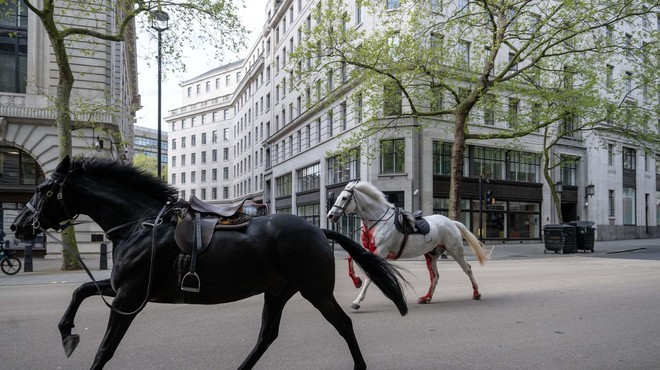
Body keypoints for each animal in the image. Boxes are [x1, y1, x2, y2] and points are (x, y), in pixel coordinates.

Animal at [11, 157, 408, 370]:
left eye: (44, 191)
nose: (18, 225)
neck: (141, 224)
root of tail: (318, 229)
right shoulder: (123, 288)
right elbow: (80, 290)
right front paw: (67, 333)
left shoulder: (129, 297)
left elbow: (105, 348)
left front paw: (74, 339)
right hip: (278, 291)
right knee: (267, 335)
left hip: (314, 290)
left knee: (342, 324)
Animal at [328, 181, 492, 308]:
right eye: (337, 197)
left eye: (344, 198)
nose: (331, 215)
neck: (378, 220)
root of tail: (451, 222)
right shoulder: (368, 250)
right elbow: (350, 258)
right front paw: (356, 281)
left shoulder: (381, 252)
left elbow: (370, 276)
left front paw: (357, 301)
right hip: (431, 255)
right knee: (435, 276)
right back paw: (426, 298)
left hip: (455, 251)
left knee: (467, 269)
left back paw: (476, 293)